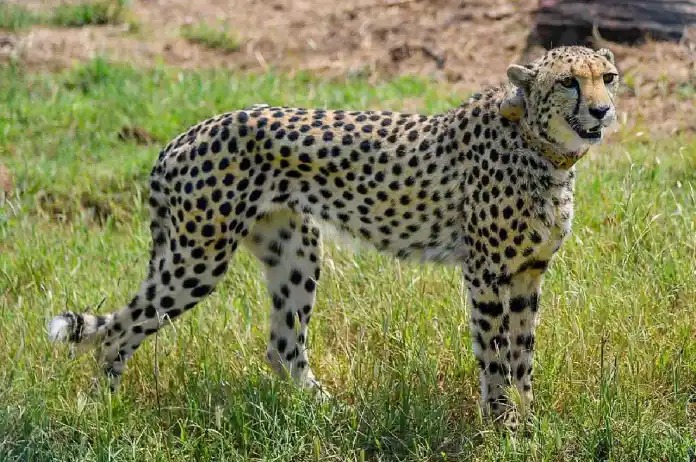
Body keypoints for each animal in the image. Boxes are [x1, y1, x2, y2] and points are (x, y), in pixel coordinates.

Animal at [47, 45, 620, 429]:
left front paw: (529, 422)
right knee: (120, 331)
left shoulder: (527, 273)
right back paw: (104, 410)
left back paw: (328, 412)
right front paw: (503, 425)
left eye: (608, 77)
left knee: (282, 346)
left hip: (295, 250)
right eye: (568, 82)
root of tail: (185, 135)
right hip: (197, 259)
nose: (602, 110)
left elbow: (523, 355)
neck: (542, 148)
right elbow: (496, 355)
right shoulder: (486, 273)